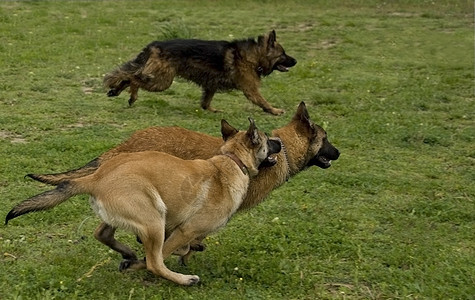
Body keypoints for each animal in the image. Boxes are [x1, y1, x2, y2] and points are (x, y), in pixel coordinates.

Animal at [5, 118, 282, 286]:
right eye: (267, 140)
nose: (280, 142)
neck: (230, 161)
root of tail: (95, 177)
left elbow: (182, 248)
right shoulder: (184, 230)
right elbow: (164, 253)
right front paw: (138, 264)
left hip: (134, 215)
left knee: (103, 233)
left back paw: (128, 253)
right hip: (153, 218)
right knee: (155, 263)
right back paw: (183, 279)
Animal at [17, 102, 338, 268]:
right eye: (326, 139)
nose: (338, 153)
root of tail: (121, 148)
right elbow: (185, 239)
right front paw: (185, 253)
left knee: (104, 232)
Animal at [105, 30, 298, 115]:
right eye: (283, 54)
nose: (296, 61)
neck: (252, 56)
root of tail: (155, 44)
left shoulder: (210, 85)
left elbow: (206, 101)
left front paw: (211, 109)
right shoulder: (250, 89)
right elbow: (263, 101)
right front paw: (274, 110)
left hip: (158, 78)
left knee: (129, 76)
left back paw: (116, 91)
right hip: (162, 81)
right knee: (133, 78)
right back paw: (132, 96)